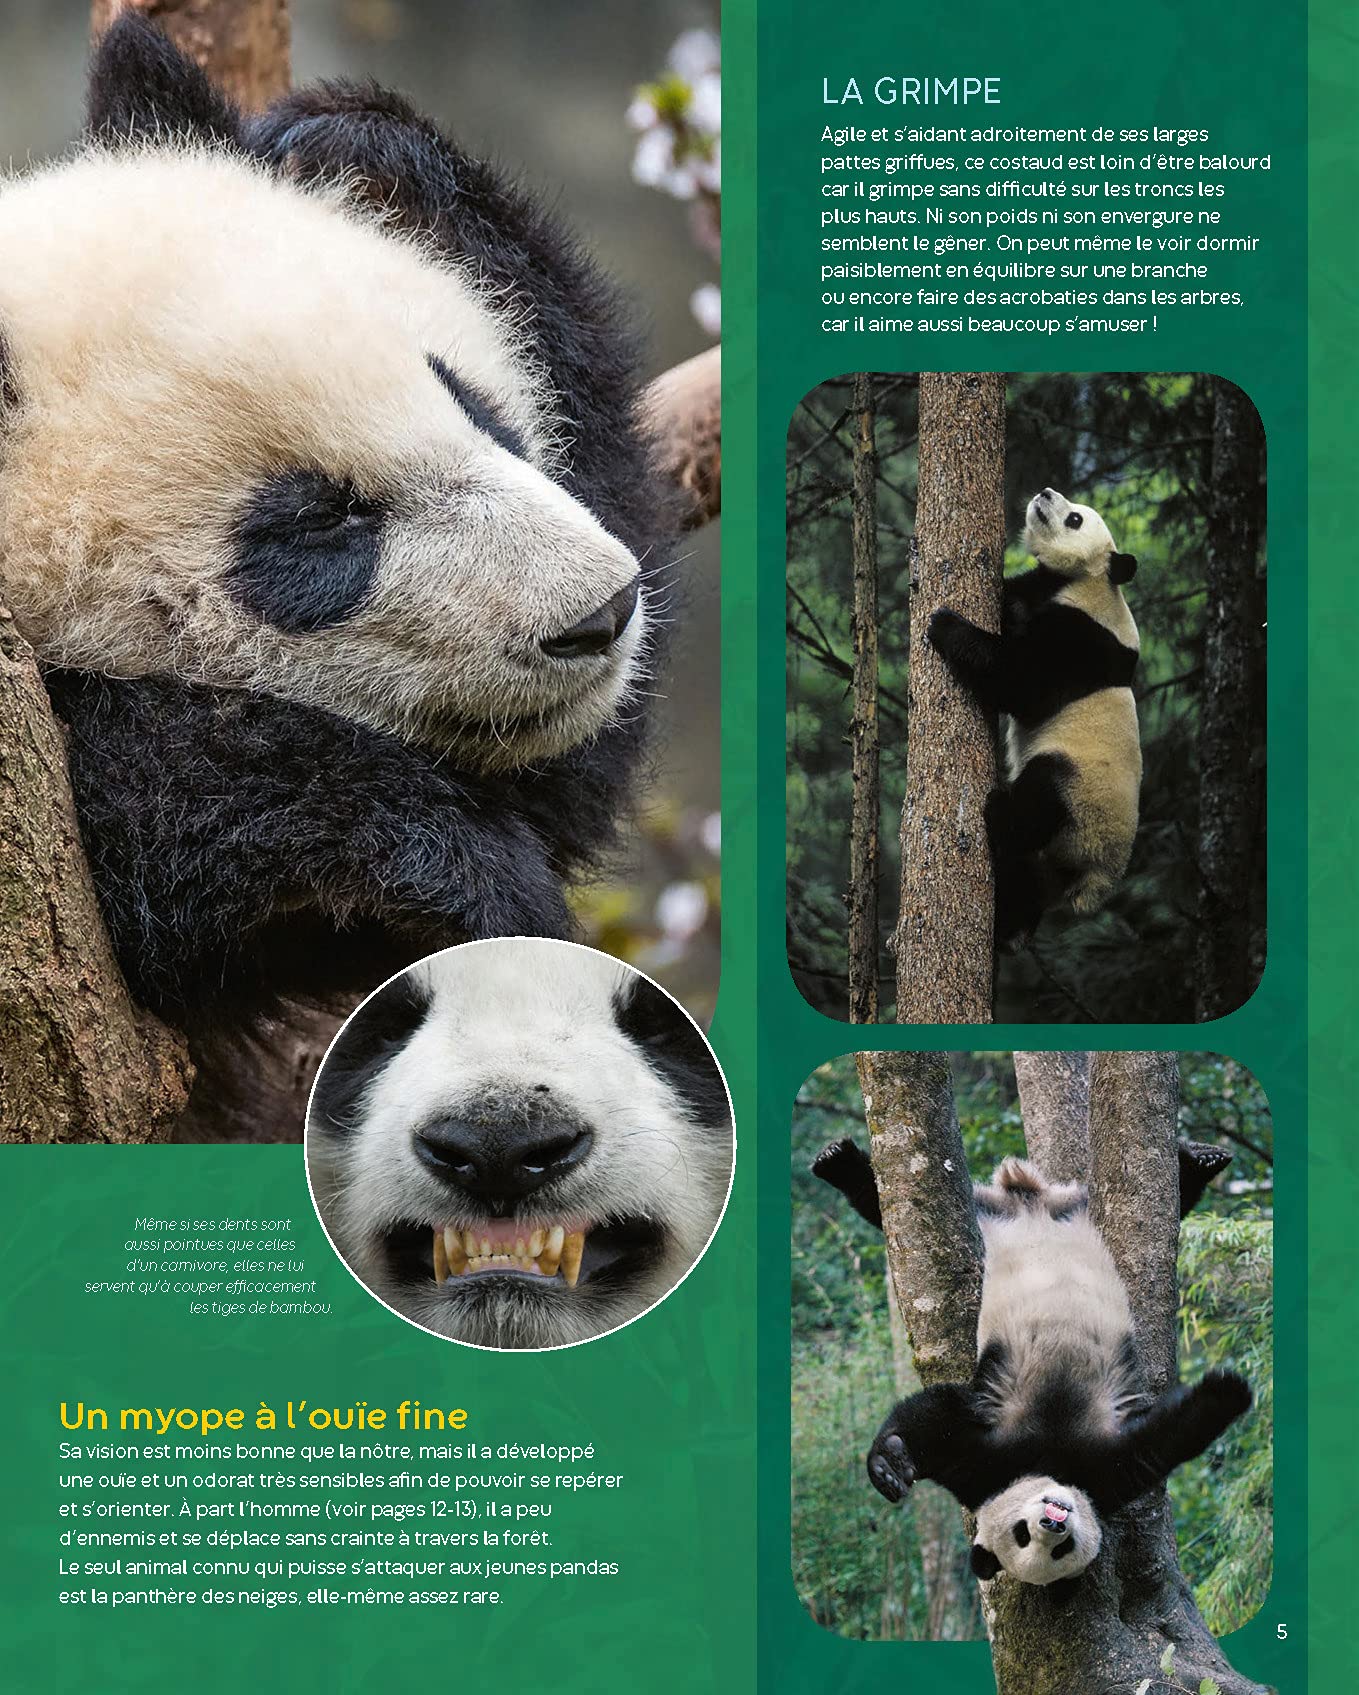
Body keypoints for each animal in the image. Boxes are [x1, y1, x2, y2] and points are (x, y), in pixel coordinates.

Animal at [811, 1139, 1251, 1592]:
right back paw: (838, 1163)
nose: (1053, 1522)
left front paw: (1229, 1390)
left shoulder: (1091, 1469)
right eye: (1026, 1539)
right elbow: (939, 1416)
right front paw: (891, 1465)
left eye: (1058, 1547)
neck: (1049, 1460)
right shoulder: (1006, 1463)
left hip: (1040, 1211)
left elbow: (1167, 1438)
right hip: (996, 1213)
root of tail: (1030, 1201)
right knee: (878, 1203)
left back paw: (1201, 1160)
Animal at [926, 488, 1142, 946]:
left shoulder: (1082, 636)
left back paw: (998, 811)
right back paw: (1009, 929)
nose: (1045, 493)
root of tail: (1096, 880)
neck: (1088, 580)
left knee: (1041, 795)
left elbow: (1021, 683)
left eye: (1076, 518)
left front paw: (946, 624)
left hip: (1082, 800)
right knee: (1023, 877)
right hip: (1052, 864)